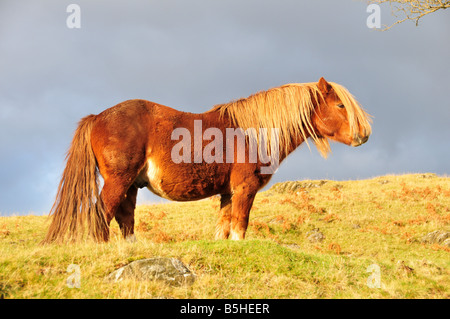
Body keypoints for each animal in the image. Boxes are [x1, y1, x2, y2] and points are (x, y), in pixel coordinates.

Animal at [42, 79, 372, 244]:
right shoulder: (244, 189)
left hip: (131, 186)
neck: (253, 132)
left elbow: (223, 227)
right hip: (118, 181)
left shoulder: (228, 192)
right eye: (340, 105)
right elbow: (240, 226)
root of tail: (98, 116)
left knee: (125, 218)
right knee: (102, 213)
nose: (364, 135)